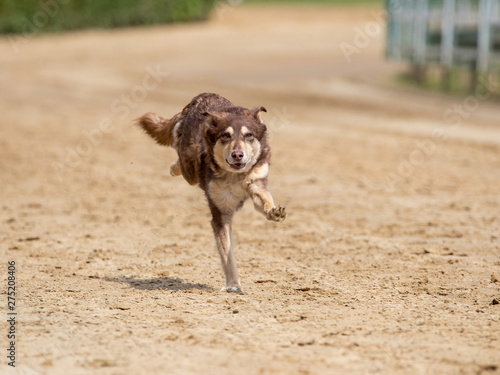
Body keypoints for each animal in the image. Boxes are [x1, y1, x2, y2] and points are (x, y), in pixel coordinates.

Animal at [136, 92, 286, 292]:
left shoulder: (257, 183)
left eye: (249, 135)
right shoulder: (221, 213)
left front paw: (274, 211)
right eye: (225, 135)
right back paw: (174, 167)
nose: (237, 154)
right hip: (189, 169)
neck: (234, 176)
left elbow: (265, 200)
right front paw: (233, 285)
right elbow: (227, 253)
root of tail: (200, 97)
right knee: (181, 162)